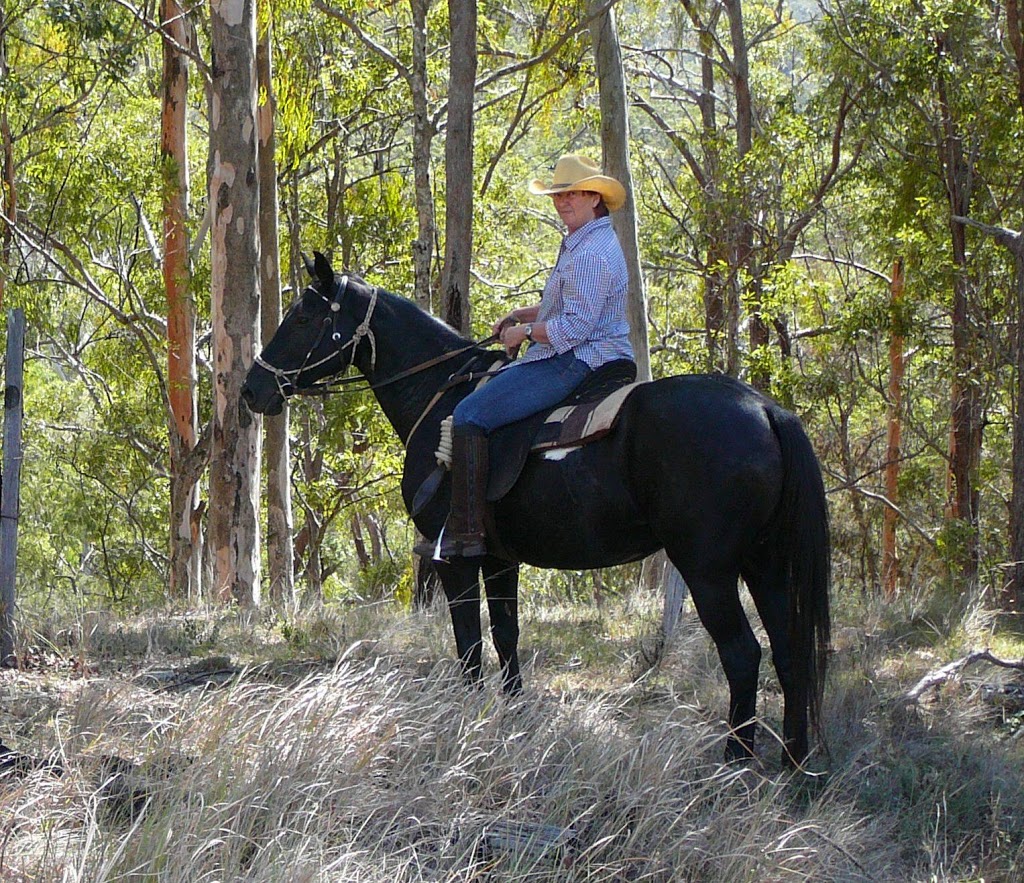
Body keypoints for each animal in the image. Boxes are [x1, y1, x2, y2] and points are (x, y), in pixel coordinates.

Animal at [241, 251, 831, 762]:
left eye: (302, 318)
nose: (251, 389)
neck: (442, 398)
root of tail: (765, 409)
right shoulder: (500, 557)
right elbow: (506, 635)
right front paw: (511, 720)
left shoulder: (452, 559)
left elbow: (469, 644)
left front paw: (462, 723)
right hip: (765, 563)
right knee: (789, 650)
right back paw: (796, 766)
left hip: (708, 568)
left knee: (743, 655)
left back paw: (735, 763)